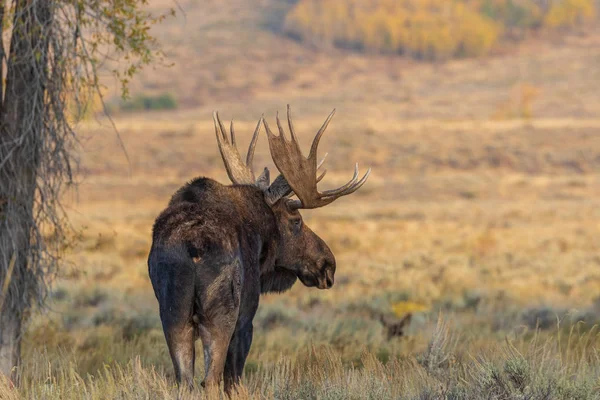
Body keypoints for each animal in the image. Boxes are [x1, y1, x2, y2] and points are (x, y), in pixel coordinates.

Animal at [146, 104, 370, 392]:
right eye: (296, 221)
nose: (328, 264)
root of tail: (193, 246)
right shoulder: (246, 317)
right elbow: (233, 380)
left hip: (173, 315)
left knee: (185, 381)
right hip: (222, 315)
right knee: (211, 380)